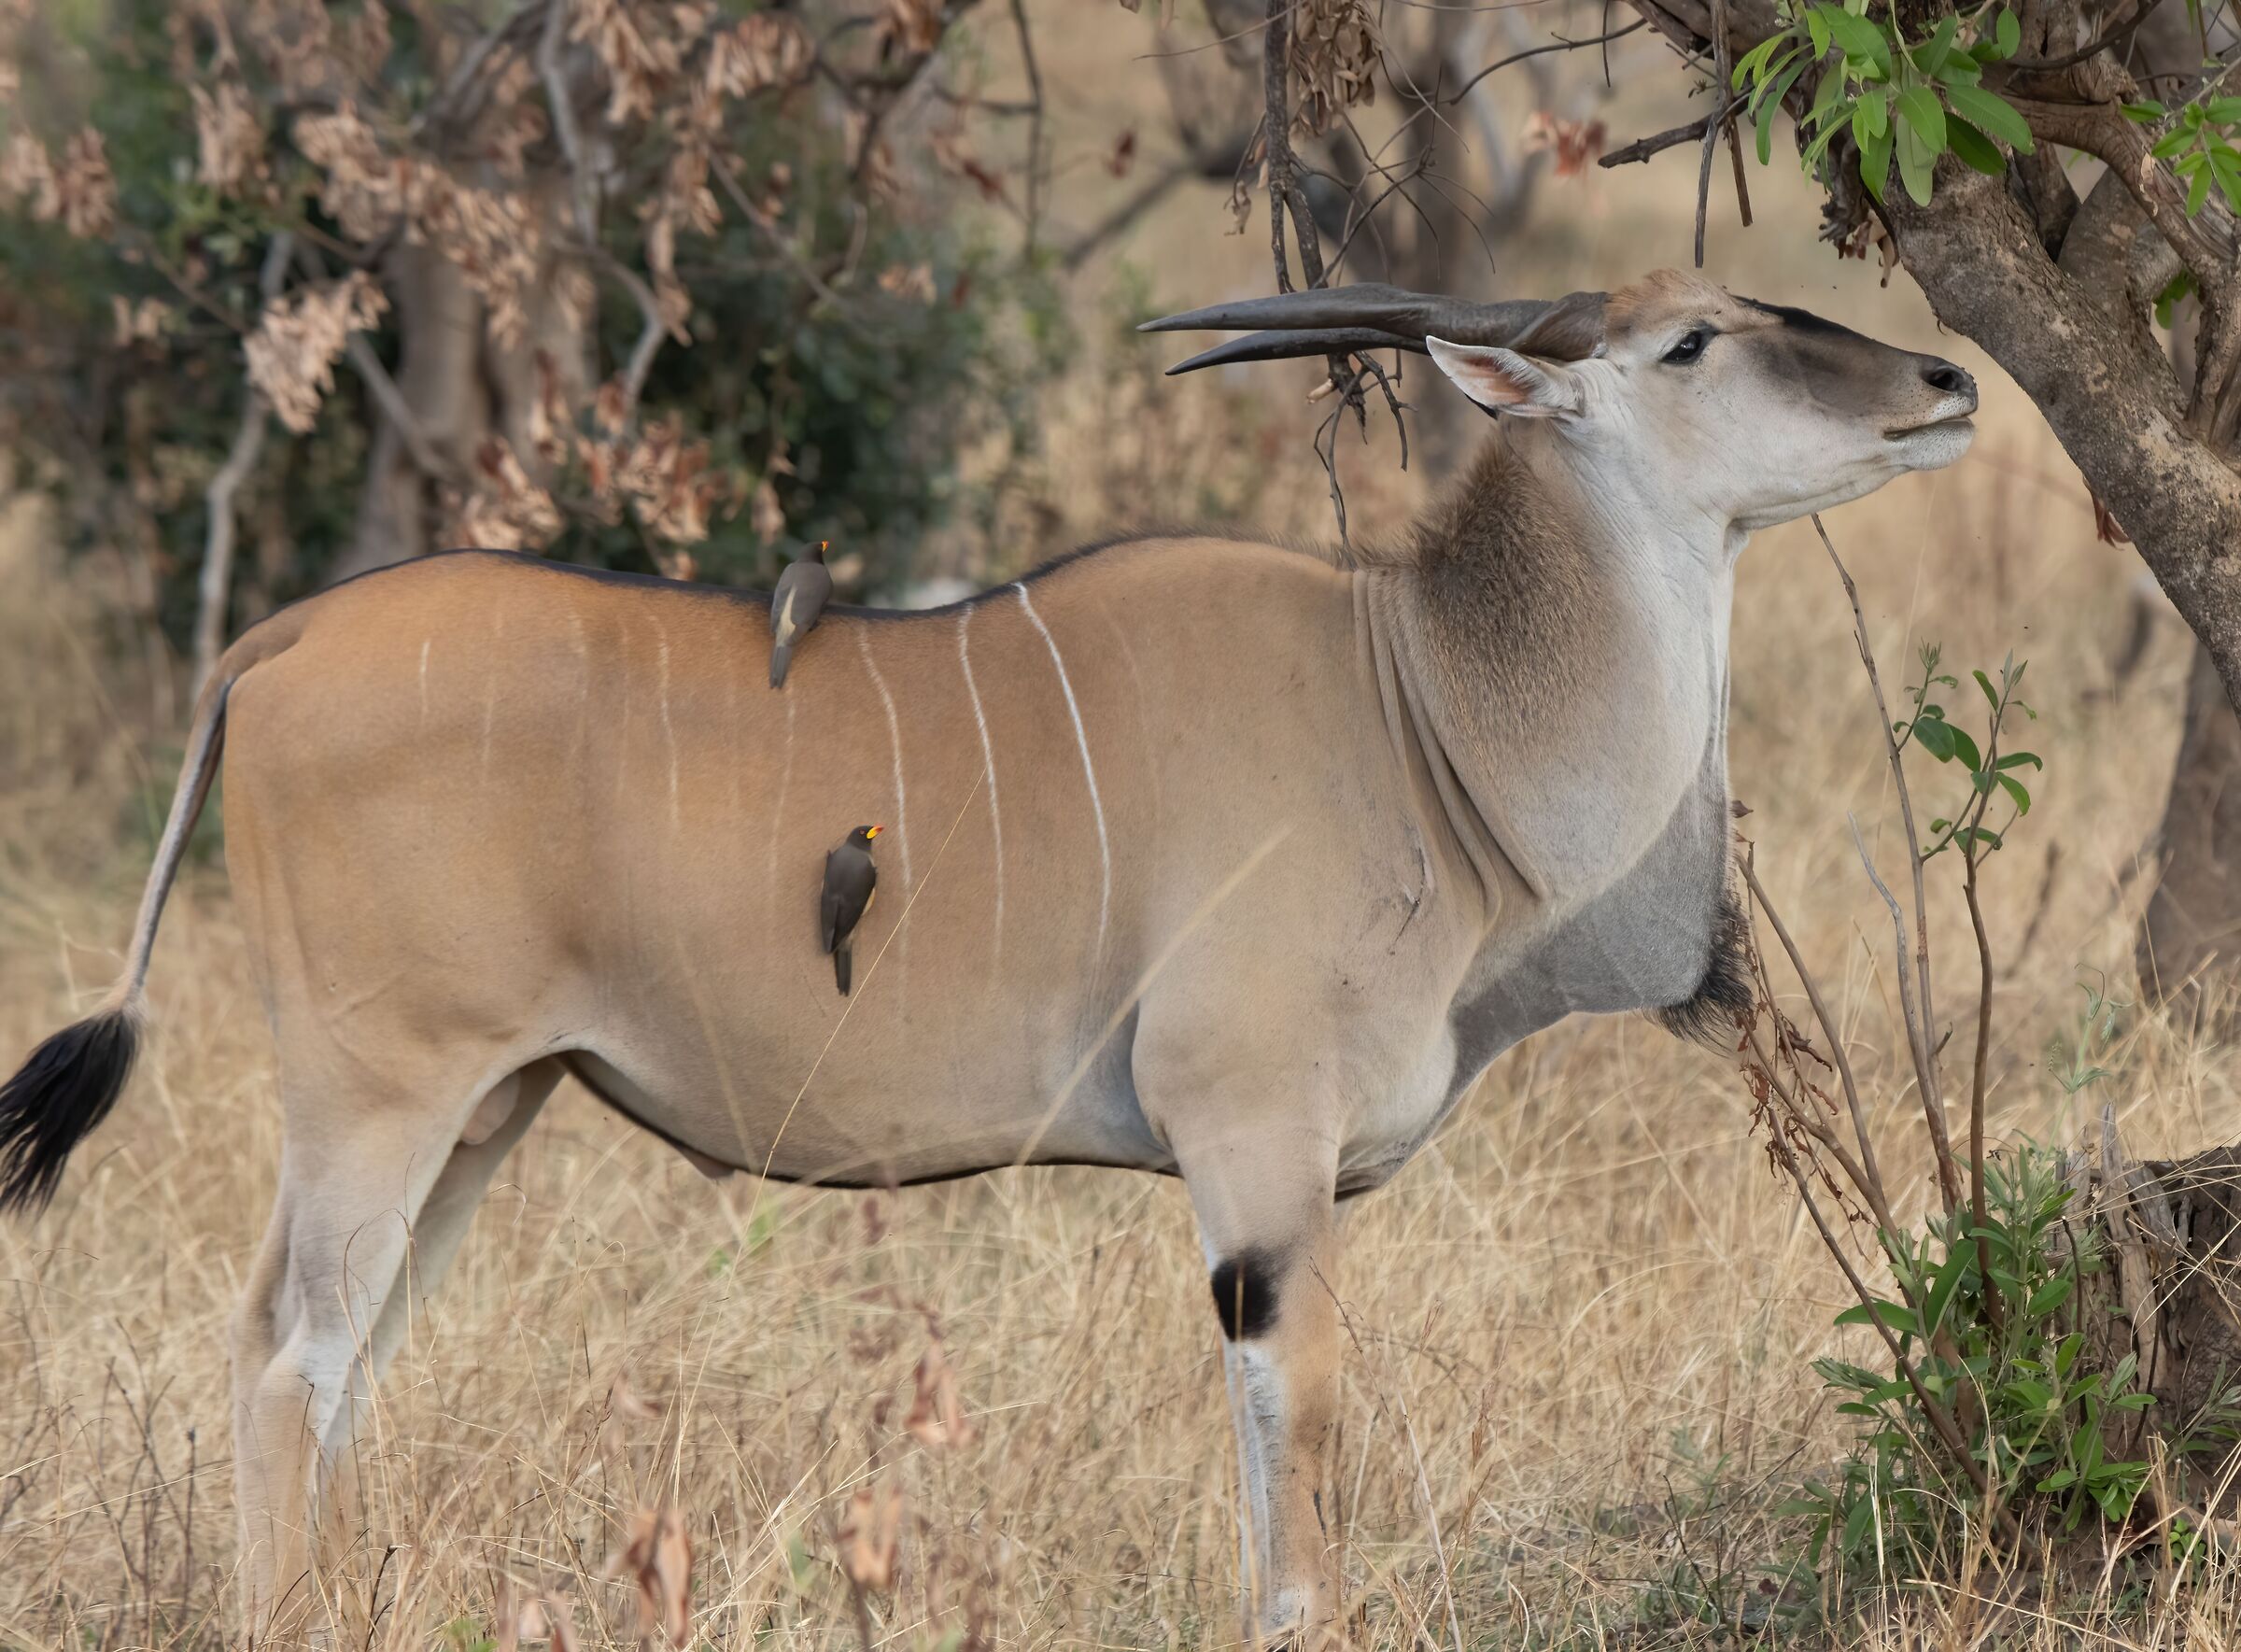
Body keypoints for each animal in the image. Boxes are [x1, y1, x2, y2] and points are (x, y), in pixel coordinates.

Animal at [0, 269, 1976, 1643]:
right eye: (1695, 340)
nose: (1949, 379)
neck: (1423, 703)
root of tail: (273, 642)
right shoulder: (1254, 1156)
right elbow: (1296, 1477)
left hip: (485, 1109)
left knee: (326, 1354)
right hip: (383, 1092)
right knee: (290, 1359)